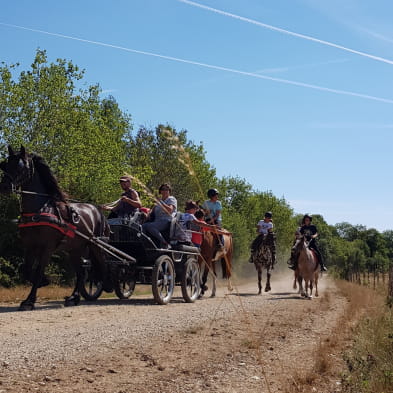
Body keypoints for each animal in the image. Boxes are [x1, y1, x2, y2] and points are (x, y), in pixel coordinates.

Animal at [0, 145, 110, 310]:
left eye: (20, 166)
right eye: (5, 165)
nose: (4, 186)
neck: (39, 210)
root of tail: (96, 209)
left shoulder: (48, 247)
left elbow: (38, 271)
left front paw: (29, 301)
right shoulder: (29, 246)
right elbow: (27, 270)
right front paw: (43, 283)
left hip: (95, 244)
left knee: (101, 264)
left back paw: (108, 285)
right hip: (74, 249)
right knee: (81, 272)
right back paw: (73, 298)